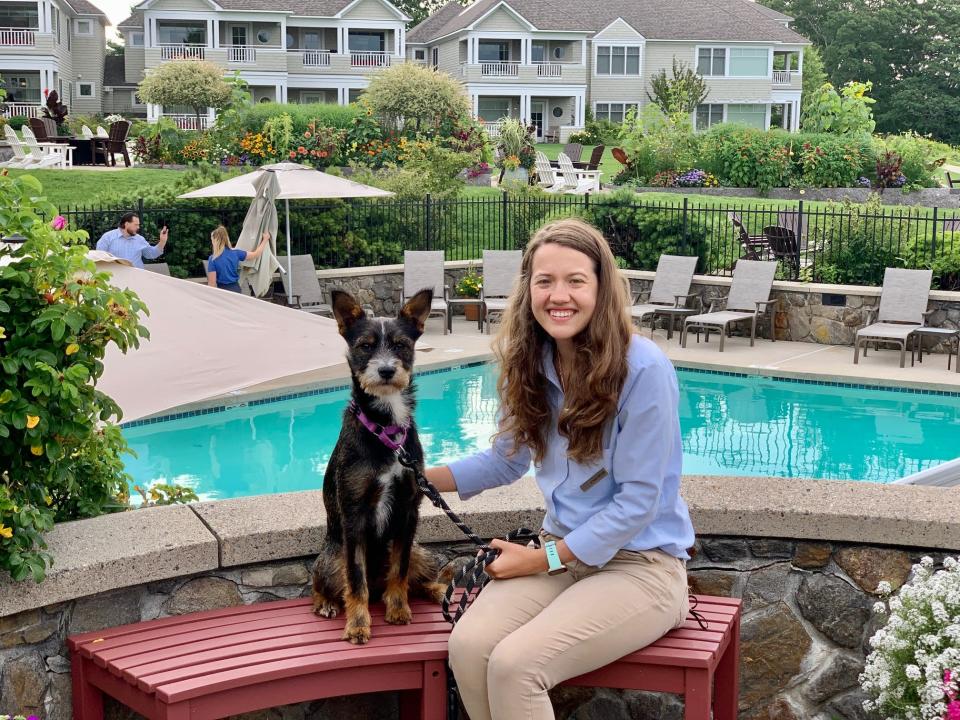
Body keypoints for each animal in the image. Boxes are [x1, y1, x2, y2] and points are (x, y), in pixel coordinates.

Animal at [316, 290, 450, 644]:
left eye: (401, 344)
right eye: (365, 345)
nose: (387, 371)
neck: (385, 426)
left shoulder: (408, 510)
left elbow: (400, 571)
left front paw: (399, 609)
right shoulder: (354, 514)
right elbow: (355, 580)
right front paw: (358, 624)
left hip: (420, 551)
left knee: (418, 577)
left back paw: (436, 591)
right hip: (331, 558)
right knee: (325, 585)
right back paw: (326, 604)